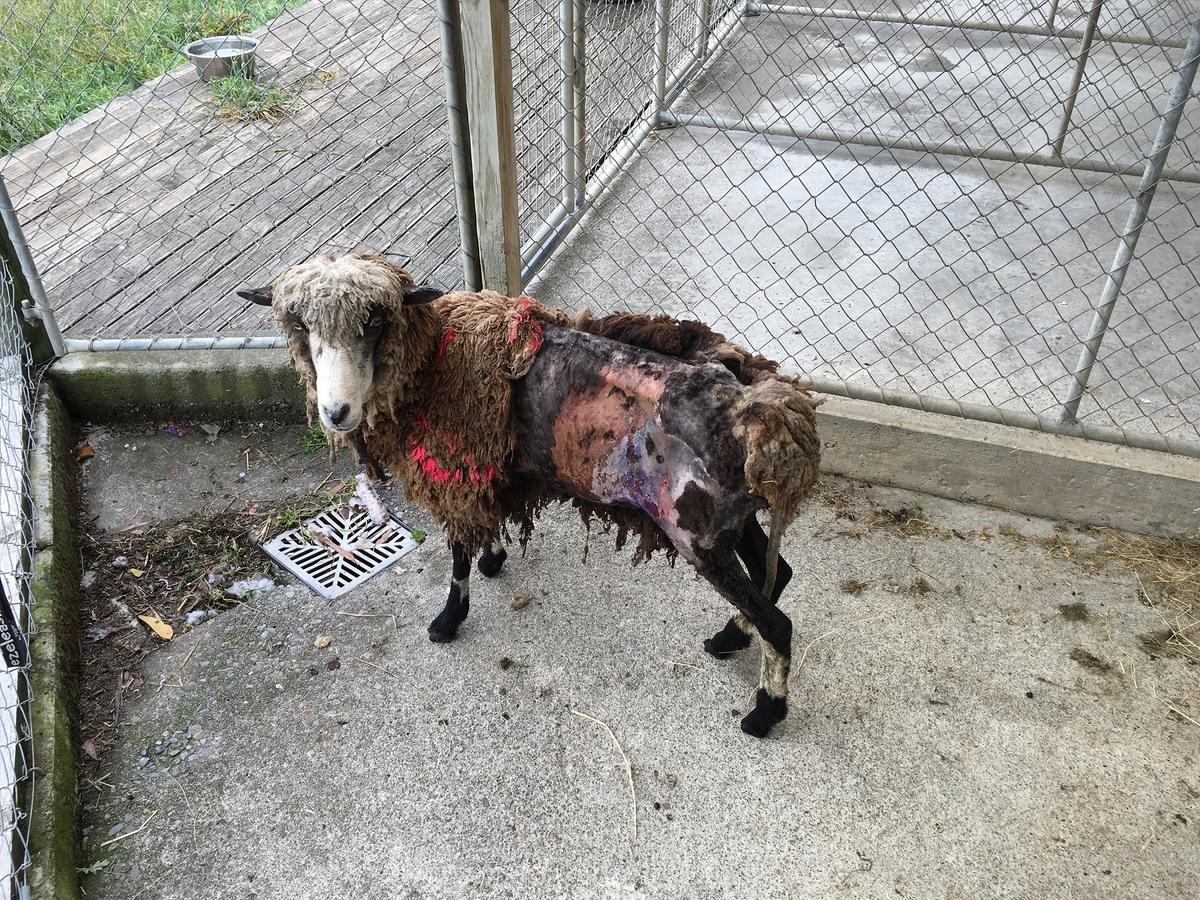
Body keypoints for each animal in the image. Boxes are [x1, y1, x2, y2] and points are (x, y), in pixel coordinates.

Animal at [239, 253, 821, 738]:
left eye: (376, 322)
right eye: (300, 326)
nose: (335, 413)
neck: (434, 363)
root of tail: (764, 413)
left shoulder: (458, 470)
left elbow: (457, 554)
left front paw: (448, 620)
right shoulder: (486, 470)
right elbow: (484, 526)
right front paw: (494, 557)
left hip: (696, 531)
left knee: (777, 618)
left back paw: (765, 712)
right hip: (726, 519)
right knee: (777, 575)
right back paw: (731, 637)